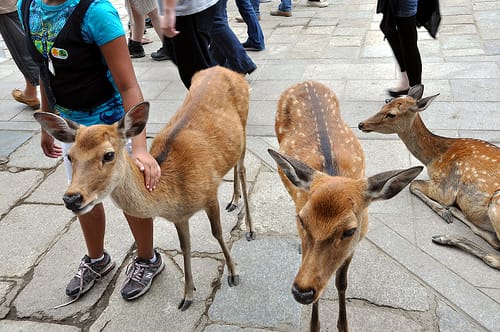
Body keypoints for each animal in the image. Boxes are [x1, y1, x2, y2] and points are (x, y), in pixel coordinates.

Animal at [32, 65, 254, 312]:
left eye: (108, 154)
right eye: (70, 156)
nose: (72, 199)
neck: (173, 190)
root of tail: (227, 70)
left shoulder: (209, 194)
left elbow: (217, 233)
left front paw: (233, 274)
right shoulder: (179, 217)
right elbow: (185, 246)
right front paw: (187, 295)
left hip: (245, 127)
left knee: (243, 169)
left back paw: (249, 228)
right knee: (235, 166)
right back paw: (233, 200)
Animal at [266, 81, 422, 332]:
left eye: (349, 230)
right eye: (302, 220)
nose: (301, 292)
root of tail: (306, 81)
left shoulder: (356, 242)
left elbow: (341, 282)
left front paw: (343, 324)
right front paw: (314, 325)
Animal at [360, 84, 500, 272]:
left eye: (392, 114)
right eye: (385, 103)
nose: (361, 124)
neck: (433, 159)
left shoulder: (446, 187)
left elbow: (413, 185)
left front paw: (442, 210)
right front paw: (447, 211)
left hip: (496, 203)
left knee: (494, 257)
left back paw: (445, 235)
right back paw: (454, 214)